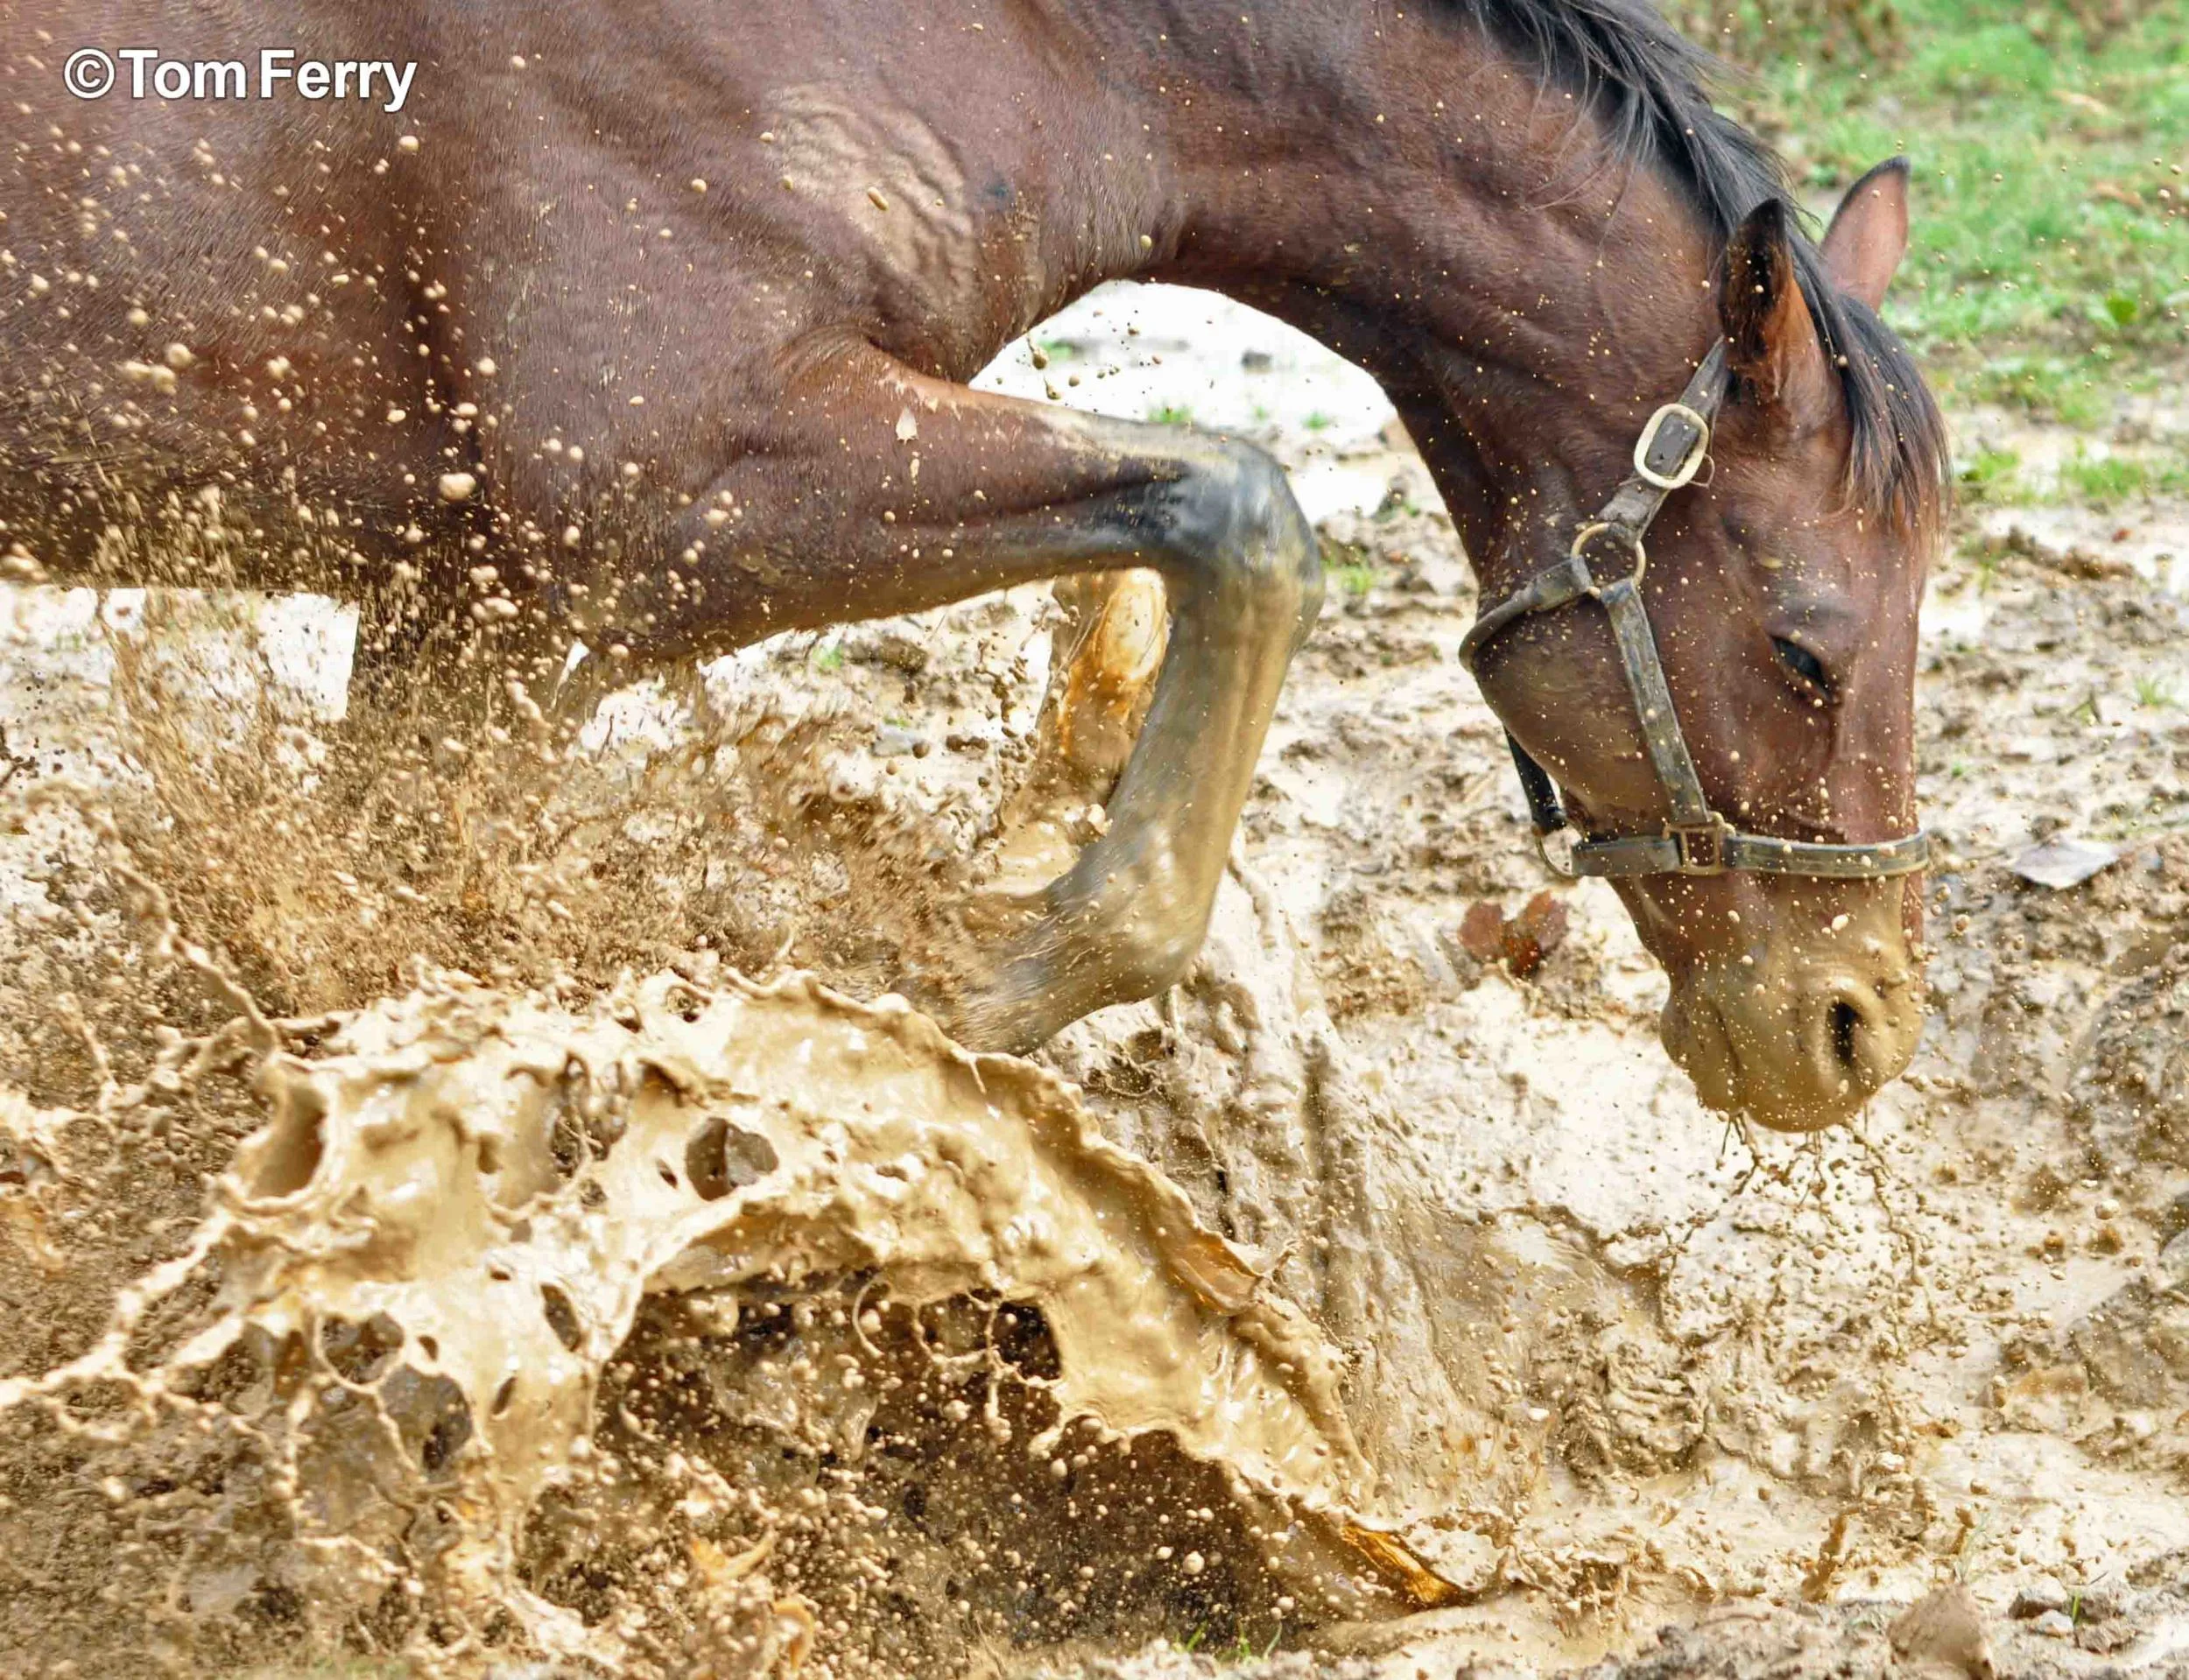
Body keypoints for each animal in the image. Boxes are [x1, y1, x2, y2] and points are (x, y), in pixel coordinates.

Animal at [2, 0, 1946, 1128]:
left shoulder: (471, 607)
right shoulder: (666, 499)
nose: (1854, 1026)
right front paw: (979, 986)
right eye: (1803, 648)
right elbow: (1245, 508)